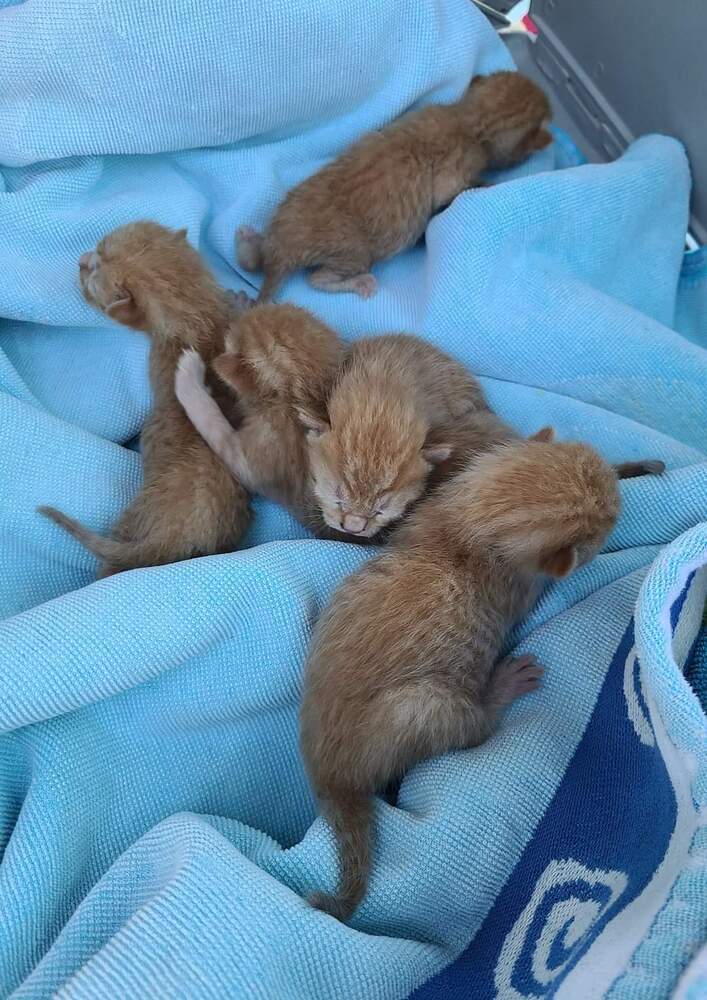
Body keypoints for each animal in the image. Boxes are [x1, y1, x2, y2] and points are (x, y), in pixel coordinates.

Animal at [40, 222, 252, 576]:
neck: (193, 306)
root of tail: (170, 537)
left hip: (130, 527)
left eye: (92, 271)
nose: (81, 259)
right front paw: (241, 299)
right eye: (101, 246)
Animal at [238, 70, 552, 298]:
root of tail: (282, 247)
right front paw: (485, 184)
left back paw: (248, 240)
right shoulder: (458, 167)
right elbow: (450, 193)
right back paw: (357, 283)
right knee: (318, 278)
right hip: (353, 252)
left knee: (253, 262)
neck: (469, 119)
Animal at [302, 430, 624, 920]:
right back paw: (502, 688)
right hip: (425, 705)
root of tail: (332, 774)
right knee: (473, 727)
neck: (467, 526)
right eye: (608, 520)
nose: (621, 498)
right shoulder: (517, 588)